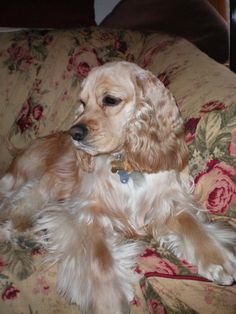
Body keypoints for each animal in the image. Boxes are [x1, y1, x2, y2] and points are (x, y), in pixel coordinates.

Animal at [0, 62, 235, 314]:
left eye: (110, 100)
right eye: (82, 102)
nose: (75, 133)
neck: (126, 163)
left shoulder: (166, 203)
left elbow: (192, 225)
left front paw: (217, 258)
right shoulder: (84, 211)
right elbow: (99, 258)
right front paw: (108, 300)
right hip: (42, 182)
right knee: (15, 208)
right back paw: (23, 234)